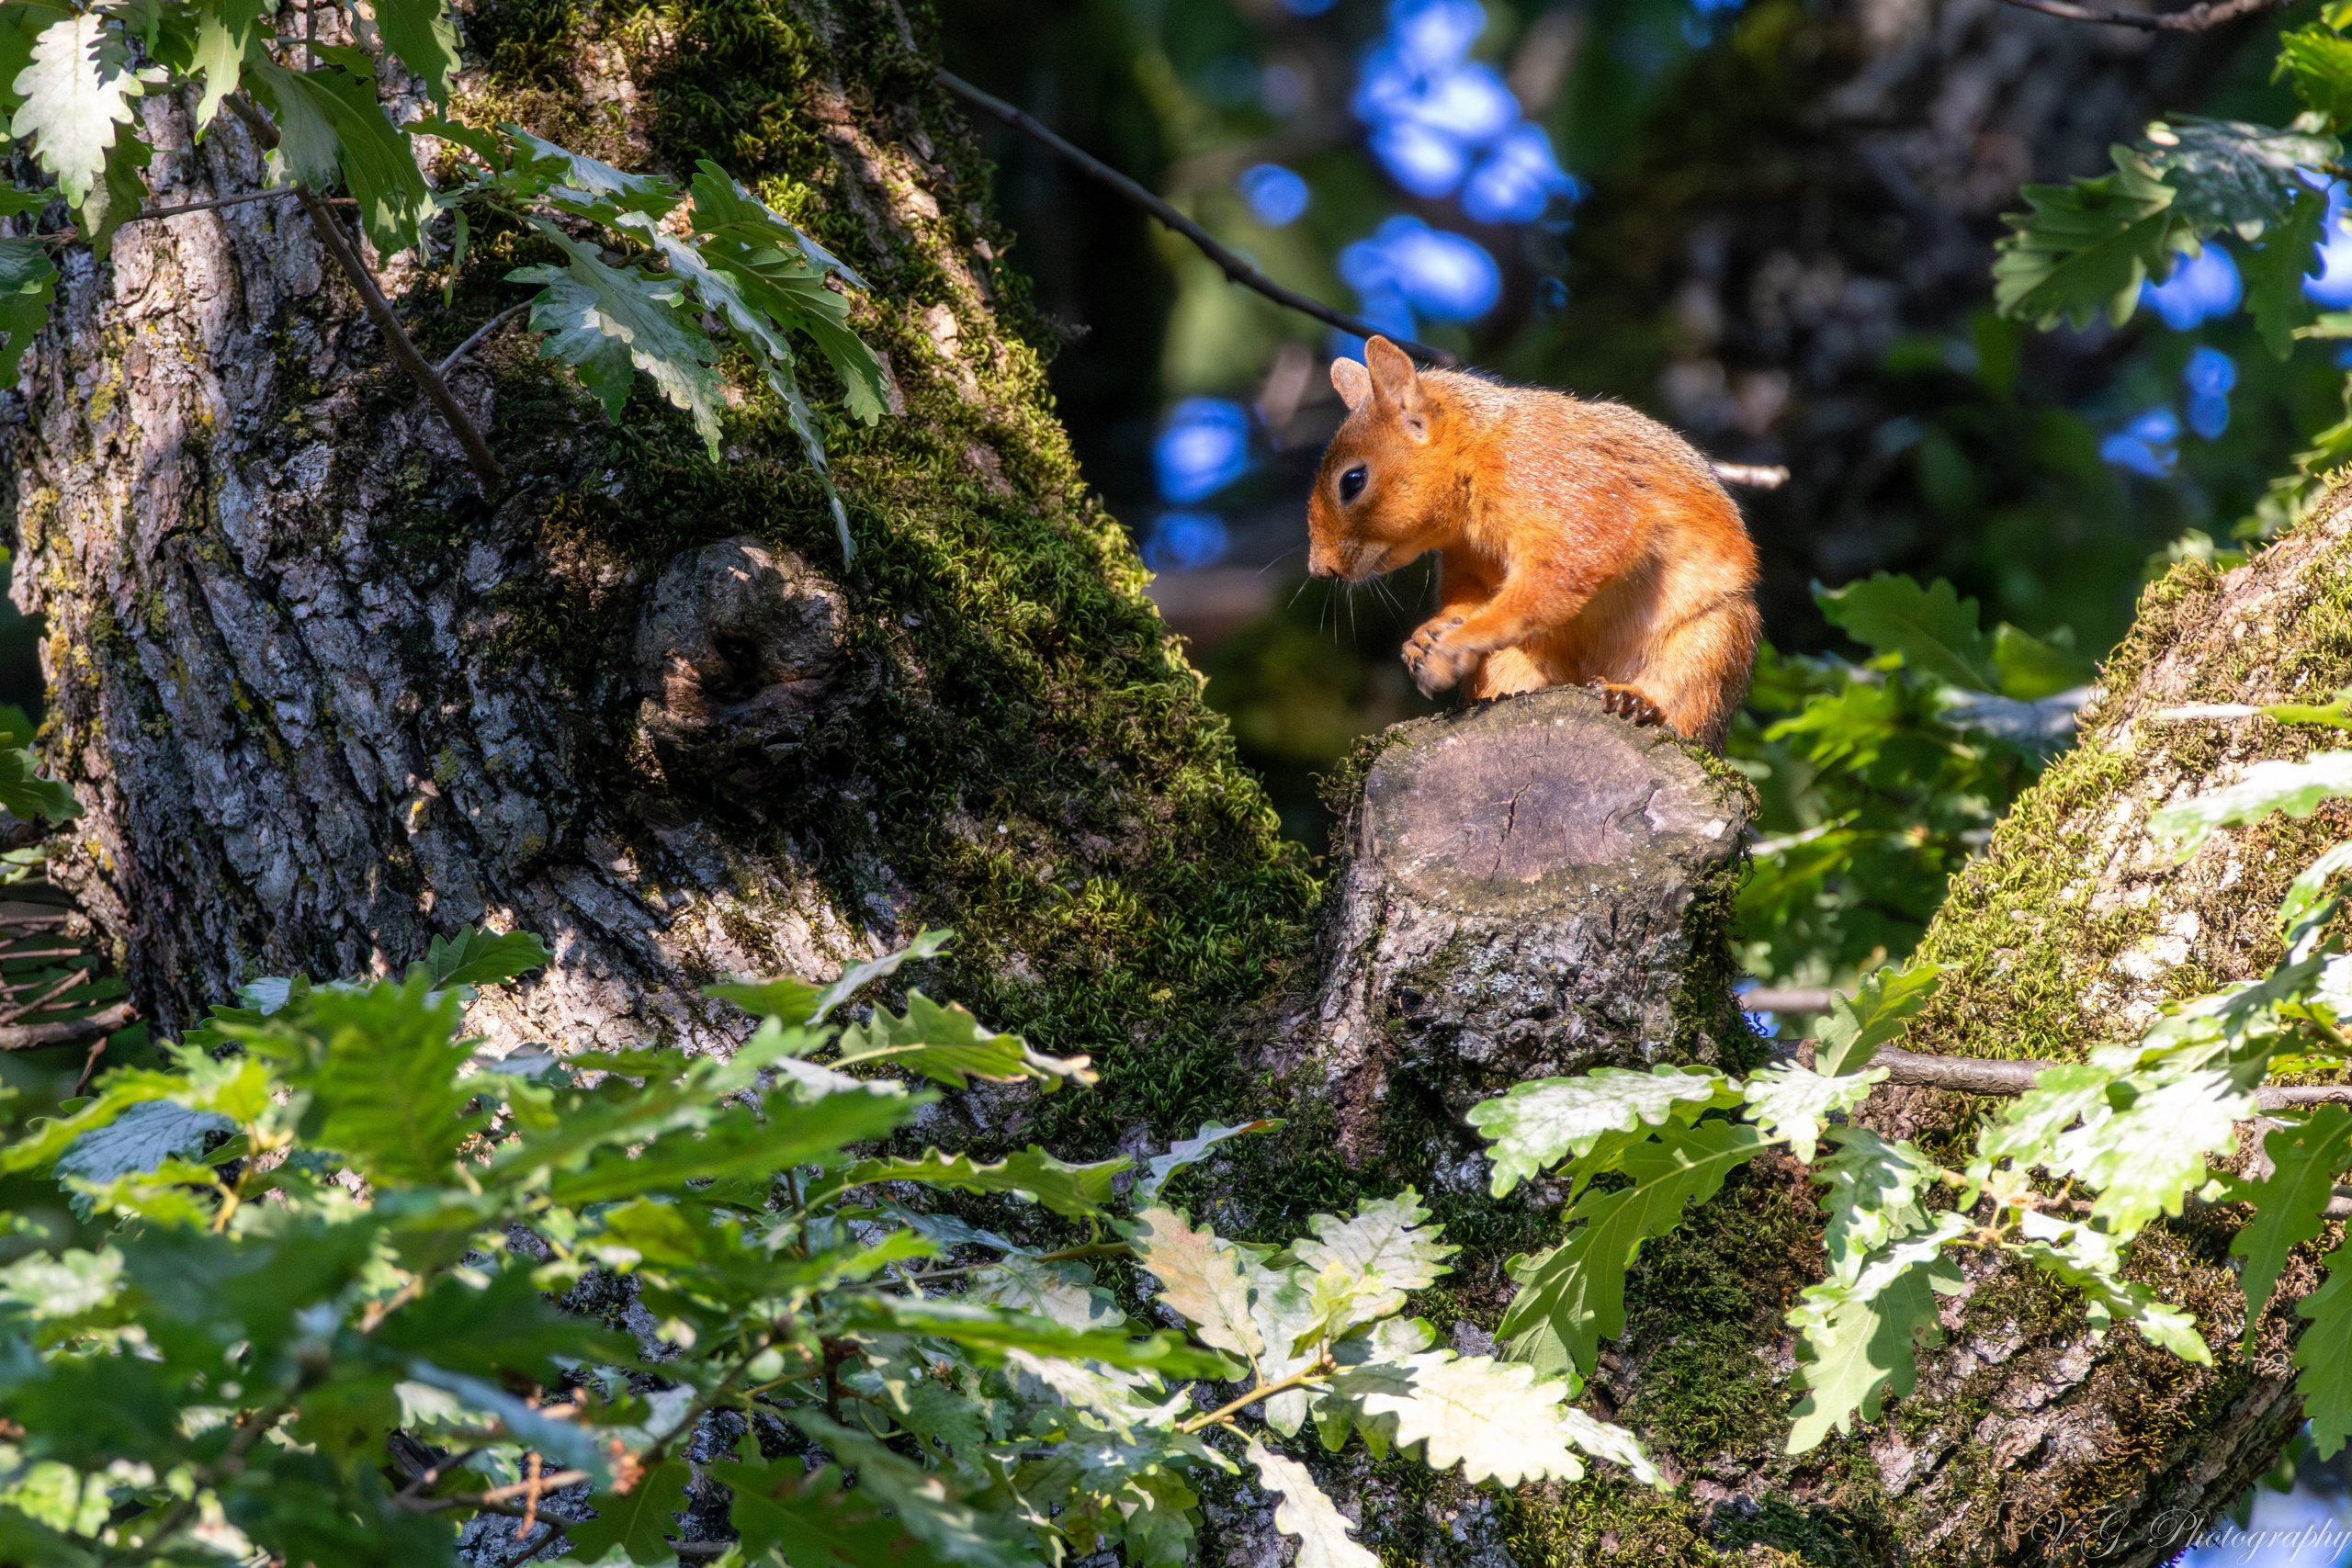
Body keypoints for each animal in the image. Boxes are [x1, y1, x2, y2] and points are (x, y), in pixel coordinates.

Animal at [1306, 336, 1762, 751]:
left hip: (1710, 644)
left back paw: (1636, 700)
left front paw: (1461, 640)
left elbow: (1566, 567)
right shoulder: (1466, 557)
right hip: (1511, 664)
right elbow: (1469, 593)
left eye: (1353, 481)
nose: (1319, 569)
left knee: (1684, 697)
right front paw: (1429, 633)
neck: (1475, 452)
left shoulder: (1553, 483)